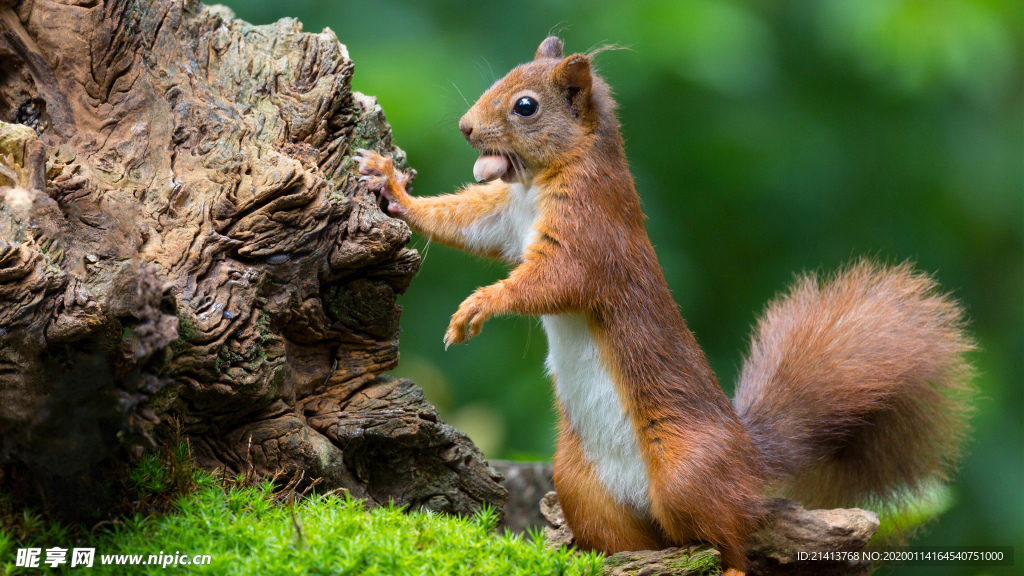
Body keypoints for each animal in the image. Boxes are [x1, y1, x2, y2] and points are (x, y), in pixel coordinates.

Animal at [354, 36, 974, 573]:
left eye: (525, 105)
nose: (465, 127)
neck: (544, 180)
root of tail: (750, 460)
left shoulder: (590, 236)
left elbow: (552, 282)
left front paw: (478, 306)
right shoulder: (505, 217)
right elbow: (462, 222)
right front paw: (392, 186)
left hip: (685, 471)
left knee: (731, 536)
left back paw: (727, 560)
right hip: (580, 484)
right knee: (639, 539)